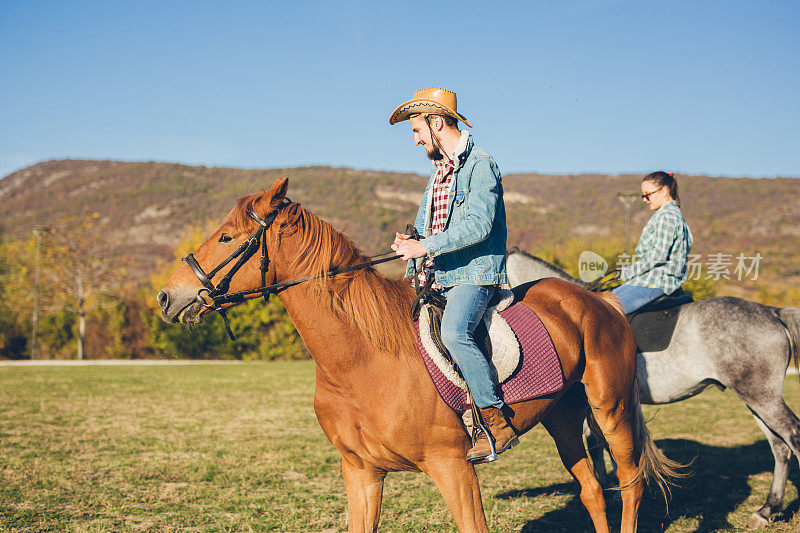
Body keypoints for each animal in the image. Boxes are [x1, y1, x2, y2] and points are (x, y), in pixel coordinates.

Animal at [158, 180, 680, 532]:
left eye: (227, 238)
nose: (167, 297)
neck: (360, 362)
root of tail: (599, 300)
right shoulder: (361, 471)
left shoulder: (453, 467)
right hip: (564, 415)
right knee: (592, 491)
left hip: (610, 408)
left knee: (630, 482)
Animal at [510, 247, 800, 524]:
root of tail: (773, 312)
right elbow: (600, 443)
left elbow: (598, 443)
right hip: (757, 399)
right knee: (780, 446)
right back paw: (768, 510)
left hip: (761, 396)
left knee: (792, 435)